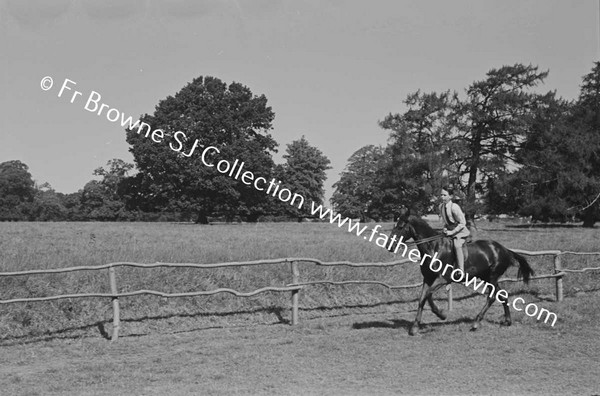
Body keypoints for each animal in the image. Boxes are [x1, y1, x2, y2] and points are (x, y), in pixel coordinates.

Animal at [390, 207, 536, 334]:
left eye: (400, 226)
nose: (389, 246)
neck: (433, 247)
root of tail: (504, 249)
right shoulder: (428, 278)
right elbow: (422, 298)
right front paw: (415, 326)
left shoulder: (443, 279)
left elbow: (428, 295)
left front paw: (441, 315)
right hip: (486, 278)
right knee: (502, 295)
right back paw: (507, 321)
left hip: (492, 277)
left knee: (492, 297)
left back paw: (476, 323)